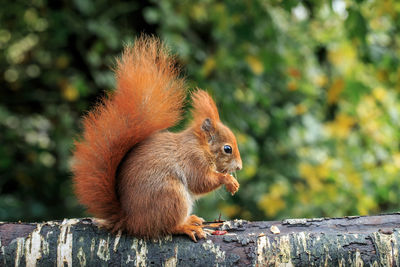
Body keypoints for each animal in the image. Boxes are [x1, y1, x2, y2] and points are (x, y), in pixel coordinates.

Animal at [71, 36, 241, 243]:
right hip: (171, 195)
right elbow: (201, 181)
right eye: (227, 149)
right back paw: (186, 226)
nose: (239, 167)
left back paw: (191, 219)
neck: (201, 145)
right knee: (167, 226)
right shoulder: (193, 159)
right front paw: (229, 180)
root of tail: (130, 220)